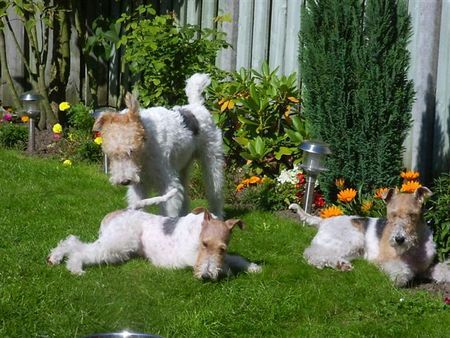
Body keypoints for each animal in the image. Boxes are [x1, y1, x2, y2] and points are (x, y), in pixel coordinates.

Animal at [46, 190, 260, 280]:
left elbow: (234, 259)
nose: (206, 276)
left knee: (72, 241)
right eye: (204, 244)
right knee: (79, 248)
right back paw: (75, 268)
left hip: (118, 248)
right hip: (116, 244)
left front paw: (254, 268)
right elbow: (227, 265)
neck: (197, 230)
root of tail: (125, 210)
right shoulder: (189, 256)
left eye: (222, 248)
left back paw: (54, 258)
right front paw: (229, 271)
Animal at [290, 186, 448, 286]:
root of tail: (323, 221)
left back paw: (342, 265)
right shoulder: (384, 260)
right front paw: (400, 277)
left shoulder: (427, 266)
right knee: (313, 253)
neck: (413, 247)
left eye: (412, 215)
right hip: (352, 239)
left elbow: (442, 269)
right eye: (392, 215)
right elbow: (400, 268)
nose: (399, 239)